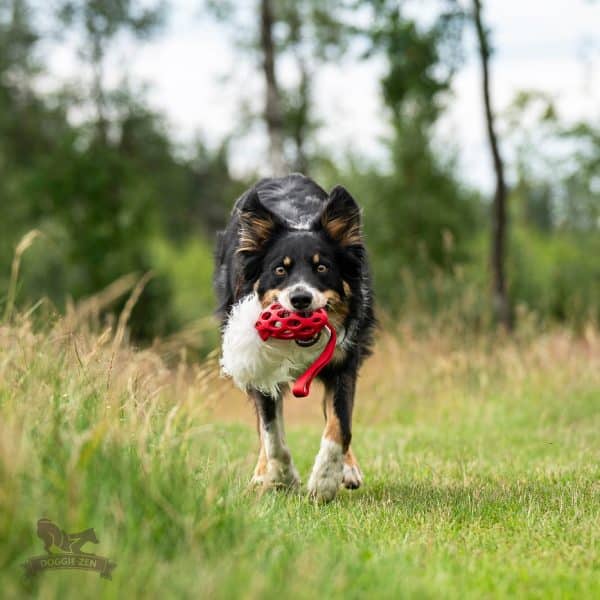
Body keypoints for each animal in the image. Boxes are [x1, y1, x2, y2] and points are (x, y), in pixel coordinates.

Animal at [214, 173, 376, 502]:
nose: (300, 298)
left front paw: (325, 479)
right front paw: (281, 477)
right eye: (279, 269)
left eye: (322, 267)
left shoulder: (343, 362)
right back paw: (262, 474)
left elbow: (340, 424)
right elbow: (271, 432)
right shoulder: (260, 368)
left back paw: (348, 469)